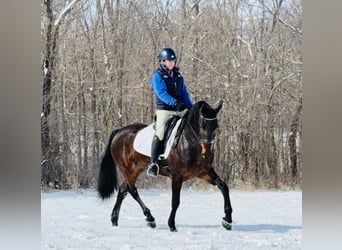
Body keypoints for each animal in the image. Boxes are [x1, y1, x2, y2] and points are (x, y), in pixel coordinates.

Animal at [97, 99, 234, 232]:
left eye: (216, 126)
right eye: (202, 125)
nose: (207, 154)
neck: (190, 142)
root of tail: (119, 131)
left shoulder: (203, 172)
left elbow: (223, 186)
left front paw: (227, 220)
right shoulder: (177, 176)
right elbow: (175, 201)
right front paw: (172, 225)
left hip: (136, 170)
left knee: (123, 190)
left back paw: (115, 219)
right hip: (128, 170)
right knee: (132, 190)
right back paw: (150, 218)